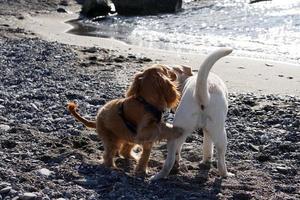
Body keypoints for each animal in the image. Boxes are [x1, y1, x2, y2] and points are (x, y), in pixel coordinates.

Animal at [152, 48, 234, 180]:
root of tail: (201, 95)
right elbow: (208, 145)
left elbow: (207, 147)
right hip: (221, 134)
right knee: (221, 159)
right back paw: (226, 174)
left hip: (180, 130)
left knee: (171, 157)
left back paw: (162, 173)